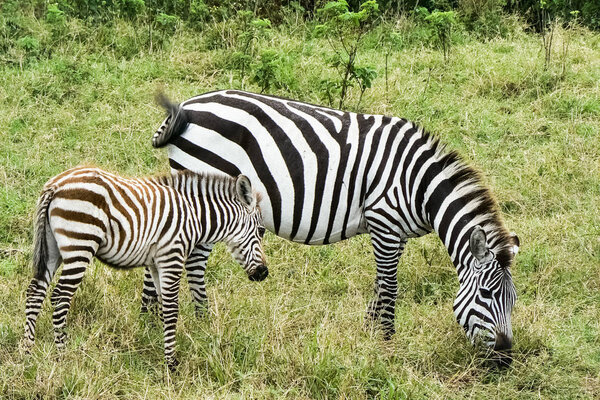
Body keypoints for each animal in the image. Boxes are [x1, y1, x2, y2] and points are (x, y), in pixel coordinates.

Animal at [23, 166, 268, 368]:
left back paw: (27, 352)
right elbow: (171, 308)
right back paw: (62, 354)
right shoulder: (172, 256)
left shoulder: (156, 262)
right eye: (261, 231)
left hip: (52, 248)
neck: (194, 215)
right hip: (80, 245)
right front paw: (171, 363)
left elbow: (160, 304)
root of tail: (55, 185)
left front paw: (153, 341)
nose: (263, 273)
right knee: (60, 297)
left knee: (35, 292)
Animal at [146, 90, 520, 360]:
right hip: (204, 189)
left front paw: (369, 331)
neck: (419, 186)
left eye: (513, 300)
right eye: (486, 295)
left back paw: (149, 318)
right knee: (193, 261)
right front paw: (387, 342)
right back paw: (201, 320)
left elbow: (379, 285)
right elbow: (390, 286)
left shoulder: (395, 233)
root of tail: (187, 108)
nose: (505, 354)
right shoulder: (384, 223)